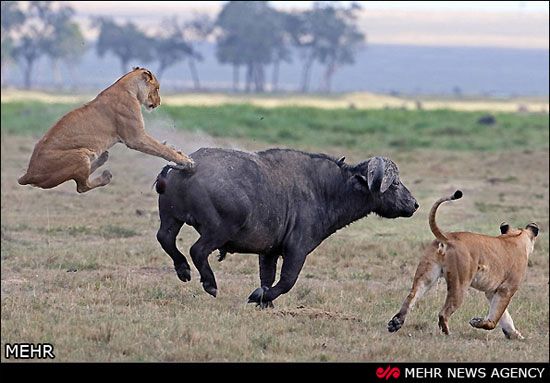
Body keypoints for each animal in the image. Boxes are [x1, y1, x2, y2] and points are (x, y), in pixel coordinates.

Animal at [155, 148, 418, 308]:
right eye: (395, 184)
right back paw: (209, 284)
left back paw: (183, 270)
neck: (326, 190)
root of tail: (190, 165)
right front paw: (258, 297)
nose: (414, 204)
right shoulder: (297, 250)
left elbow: (267, 277)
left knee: (165, 238)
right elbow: (286, 281)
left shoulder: (268, 252)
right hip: (218, 230)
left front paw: (265, 302)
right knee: (197, 250)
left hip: (171, 218)